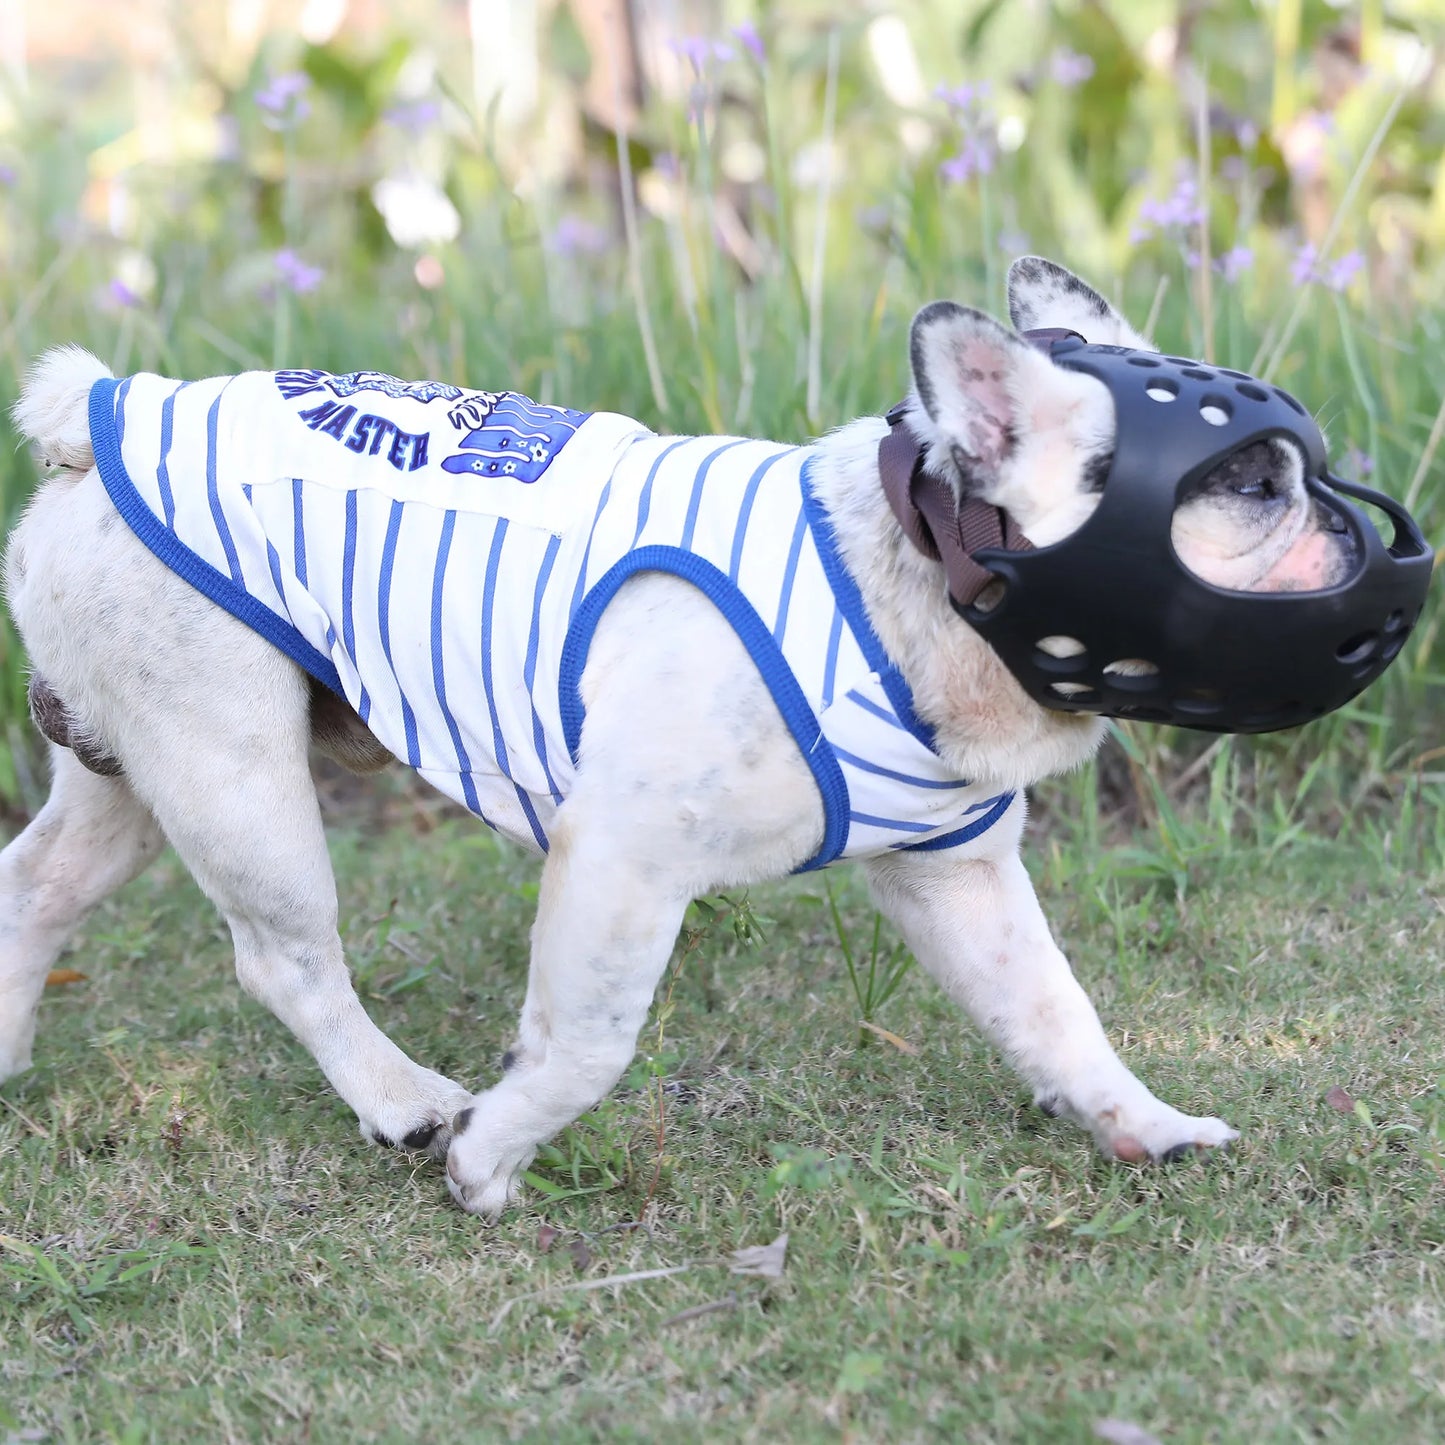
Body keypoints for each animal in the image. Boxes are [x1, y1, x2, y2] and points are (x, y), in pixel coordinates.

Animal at [2, 257, 1352, 1208]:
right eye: (1248, 488)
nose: (1348, 522)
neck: (910, 572)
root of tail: (99, 410)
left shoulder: (957, 876)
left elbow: (1054, 1010)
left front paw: (1140, 1121)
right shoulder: (621, 859)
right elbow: (589, 1039)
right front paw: (490, 1154)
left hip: (133, 767)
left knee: (37, 880)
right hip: (232, 768)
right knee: (283, 956)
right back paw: (403, 1098)